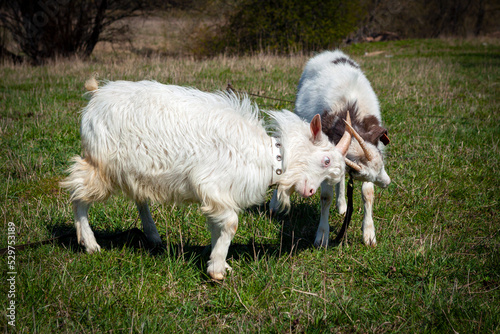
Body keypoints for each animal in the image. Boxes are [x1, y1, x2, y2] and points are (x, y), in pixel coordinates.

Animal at [60, 79, 354, 280]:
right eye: (326, 161)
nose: (310, 192)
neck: (268, 155)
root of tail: (96, 96)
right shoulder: (212, 185)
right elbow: (231, 224)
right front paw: (217, 271)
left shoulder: (218, 195)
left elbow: (217, 226)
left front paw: (219, 261)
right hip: (101, 165)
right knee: (78, 195)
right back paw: (90, 243)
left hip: (132, 171)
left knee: (139, 198)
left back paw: (153, 236)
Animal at [270, 49, 390, 248]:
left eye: (381, 166)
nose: (387, 182)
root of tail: (331, 52)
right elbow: (326, 197)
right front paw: (322, 236)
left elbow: (368, 193)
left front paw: (369, 235)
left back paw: (342, 206)